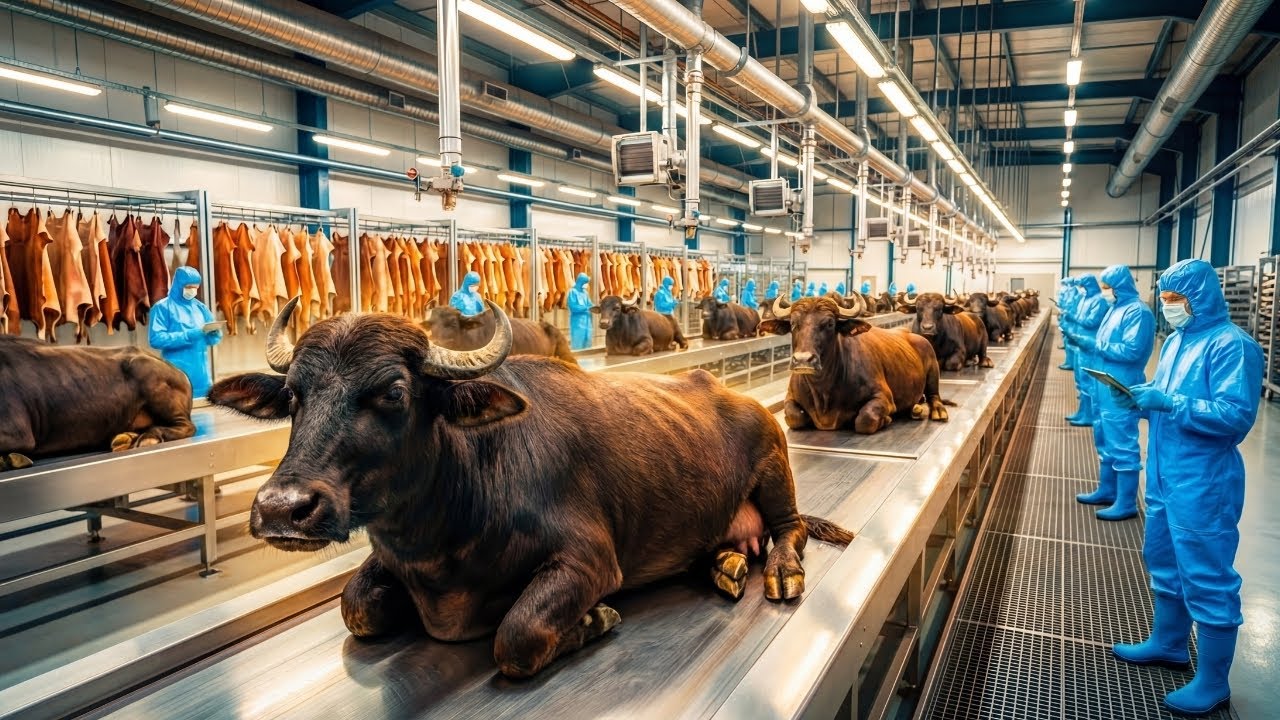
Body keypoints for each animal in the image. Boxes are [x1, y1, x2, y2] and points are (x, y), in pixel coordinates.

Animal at [760, 295, 952, 433]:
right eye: (793, 323)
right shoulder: (790, 398)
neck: (822, 390)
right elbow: (795, 417)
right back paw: (915, 409)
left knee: (934, 395)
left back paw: (937, 411)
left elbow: (864, 419)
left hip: (933, 370)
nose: (803, 360)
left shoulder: (884, 397)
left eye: (829, 323)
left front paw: (887, 419)